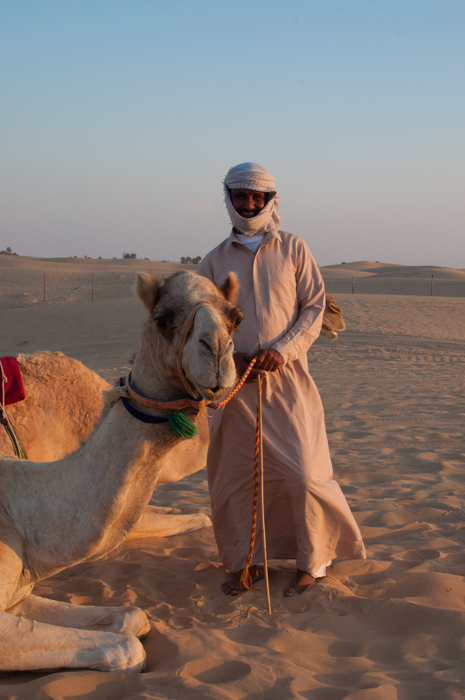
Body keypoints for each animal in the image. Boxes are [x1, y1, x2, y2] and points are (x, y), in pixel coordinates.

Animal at [0, 270, 242, 673]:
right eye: (162, 319)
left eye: (235, 318)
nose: (217, 352)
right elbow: (126, 648)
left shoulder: (20, 593)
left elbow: (133, 616)